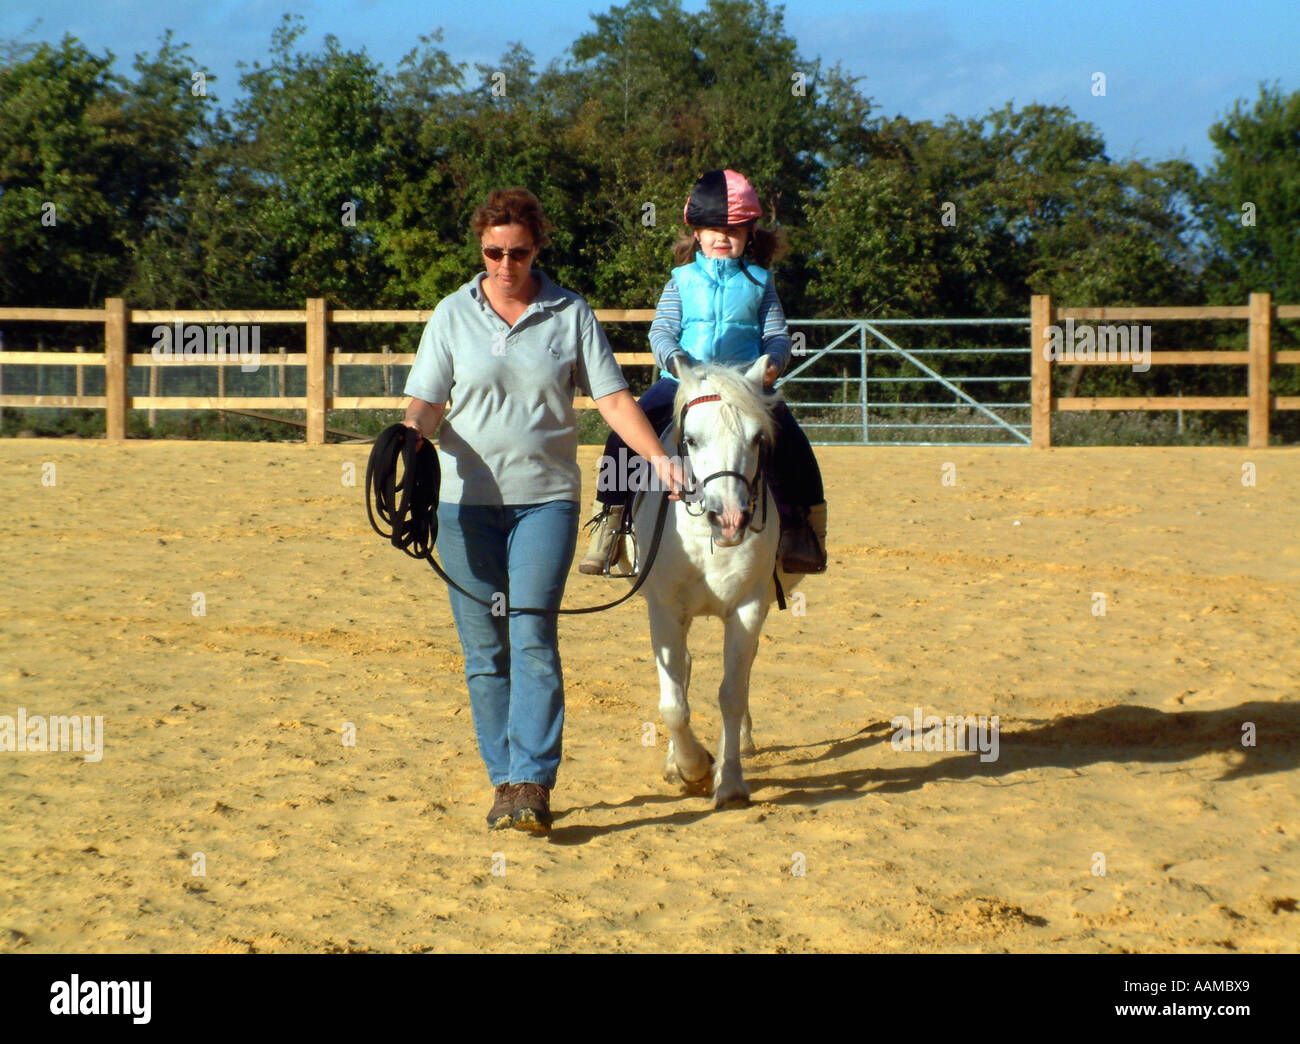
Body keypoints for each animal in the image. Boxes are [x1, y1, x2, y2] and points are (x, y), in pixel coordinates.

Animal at [626, 354, 805, 809]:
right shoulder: (665, 610)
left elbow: (731, 693)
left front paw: (729, 781)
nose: (728, 519)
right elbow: (674, 703)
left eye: (758, 438)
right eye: (690, 439)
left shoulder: (748, 607)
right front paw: (692, 768)